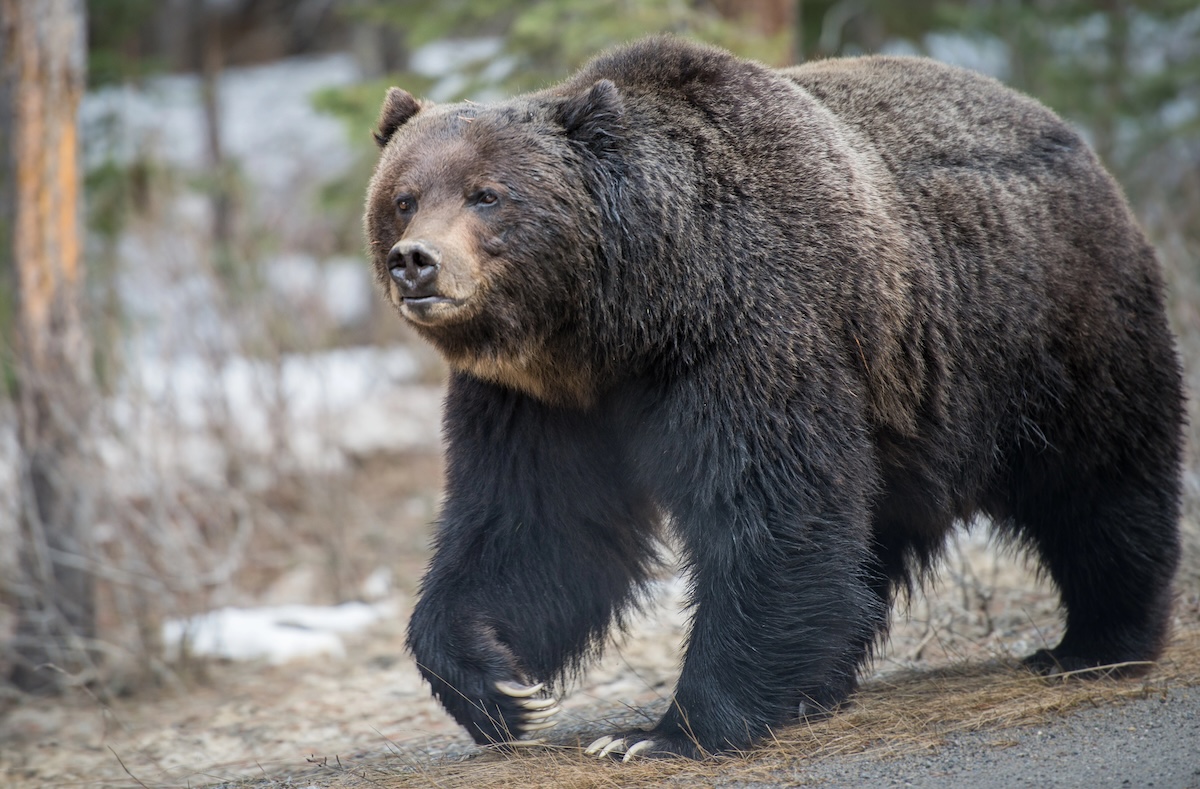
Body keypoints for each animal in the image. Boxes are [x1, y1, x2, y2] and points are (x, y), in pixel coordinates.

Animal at [364, 36, 1184, 760]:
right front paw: (503, 687)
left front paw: (662, 731)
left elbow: (771, 512)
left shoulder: (748, 334)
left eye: (487, 194)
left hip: (1044, 333)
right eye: (404, 197)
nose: (417, 262)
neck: (624, 321)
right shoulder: (537, 401)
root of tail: (1073, 137)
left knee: (1099, 482)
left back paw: (1096, 641)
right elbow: (532, 530)